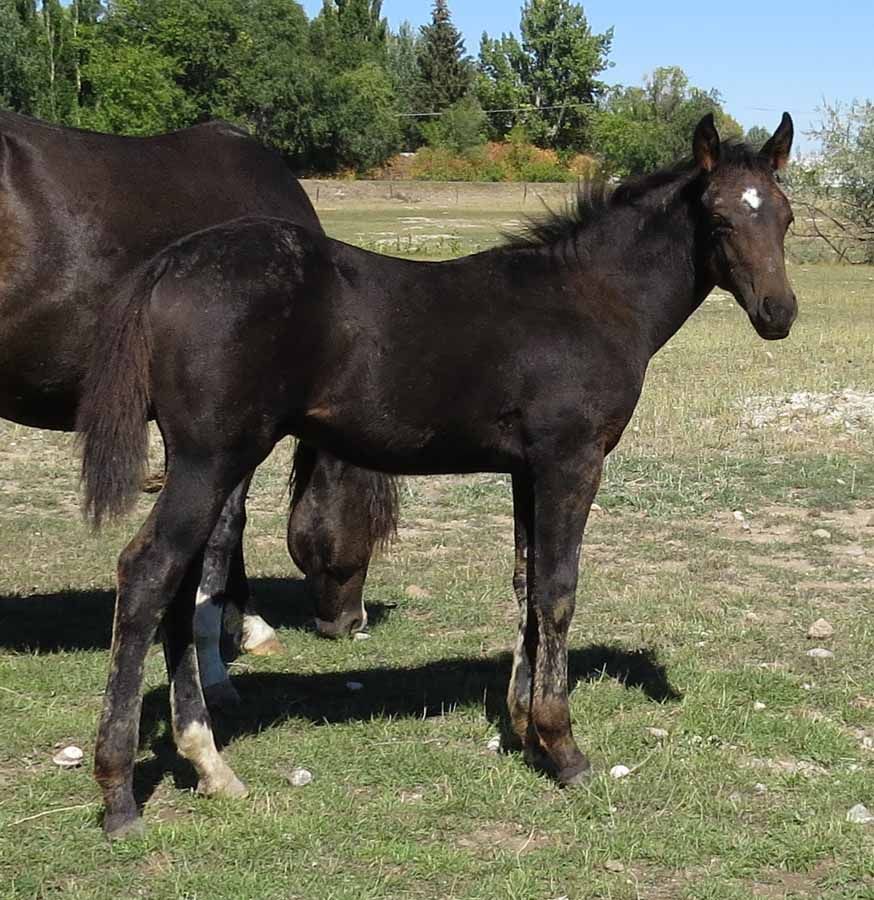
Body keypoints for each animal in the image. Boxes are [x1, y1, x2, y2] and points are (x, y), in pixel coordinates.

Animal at [77, 113, 797, 838]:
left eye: (786, 216)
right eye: (718, 217)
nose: (779, 313)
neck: (591, 299)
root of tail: (171, 264)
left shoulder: (526, 469)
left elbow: (525, 586)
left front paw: (523, 729)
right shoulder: (571, 461)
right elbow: (558, 592)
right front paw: (563, 748)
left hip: (209, 463)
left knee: (179, 584)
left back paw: (209, 767)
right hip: (212, 458)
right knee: (147, 573)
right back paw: (120, 794)